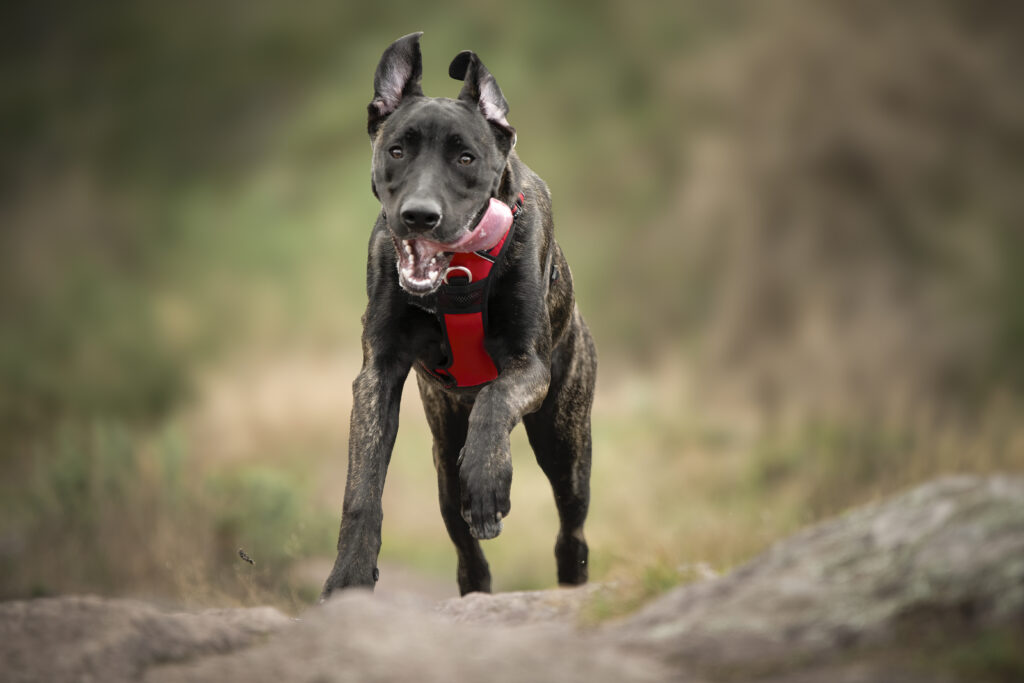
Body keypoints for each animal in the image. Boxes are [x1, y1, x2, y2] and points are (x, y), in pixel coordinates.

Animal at [317, 33, 593, 598]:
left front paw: (488, 480)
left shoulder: (529, 365)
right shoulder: (377, 373)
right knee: (464, 541)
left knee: (571, 526)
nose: (420, 216)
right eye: (397, 150)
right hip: (444, 456)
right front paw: (349, 577)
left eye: (466, 157)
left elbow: (496, 397)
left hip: (565, 441)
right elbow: (362, 488)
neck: (460, 277)